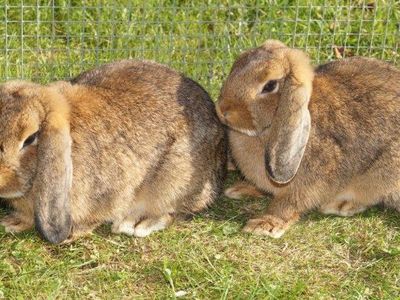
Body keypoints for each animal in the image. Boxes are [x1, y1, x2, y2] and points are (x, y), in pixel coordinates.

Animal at [0, 60, 227, 244]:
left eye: (30, 138)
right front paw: (11, 223)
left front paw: (72, 234)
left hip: (175, 184)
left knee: (175, 212)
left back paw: (137, 224)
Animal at [216, 39, 400, 238]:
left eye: (270, 85)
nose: (222, 109)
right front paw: (241, 189)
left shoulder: (307, 184)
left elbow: (288, 204)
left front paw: (264, 225)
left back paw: (340, 205)